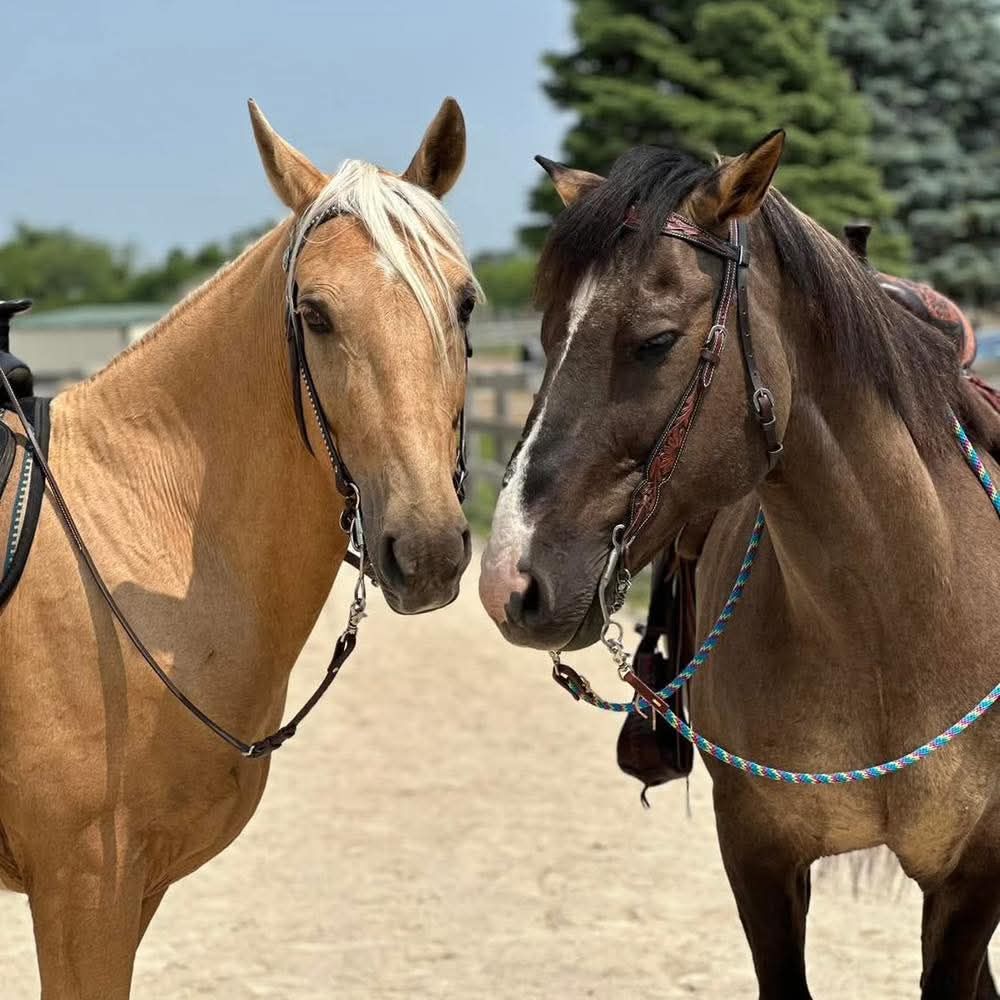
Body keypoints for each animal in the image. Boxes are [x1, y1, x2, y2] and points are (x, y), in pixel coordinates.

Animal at [479, 131, 1000, 998]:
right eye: (546, 337)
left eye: (655, 342)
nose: (507, 581)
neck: (893, 620)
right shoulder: (758, 856)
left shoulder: (970, 881)